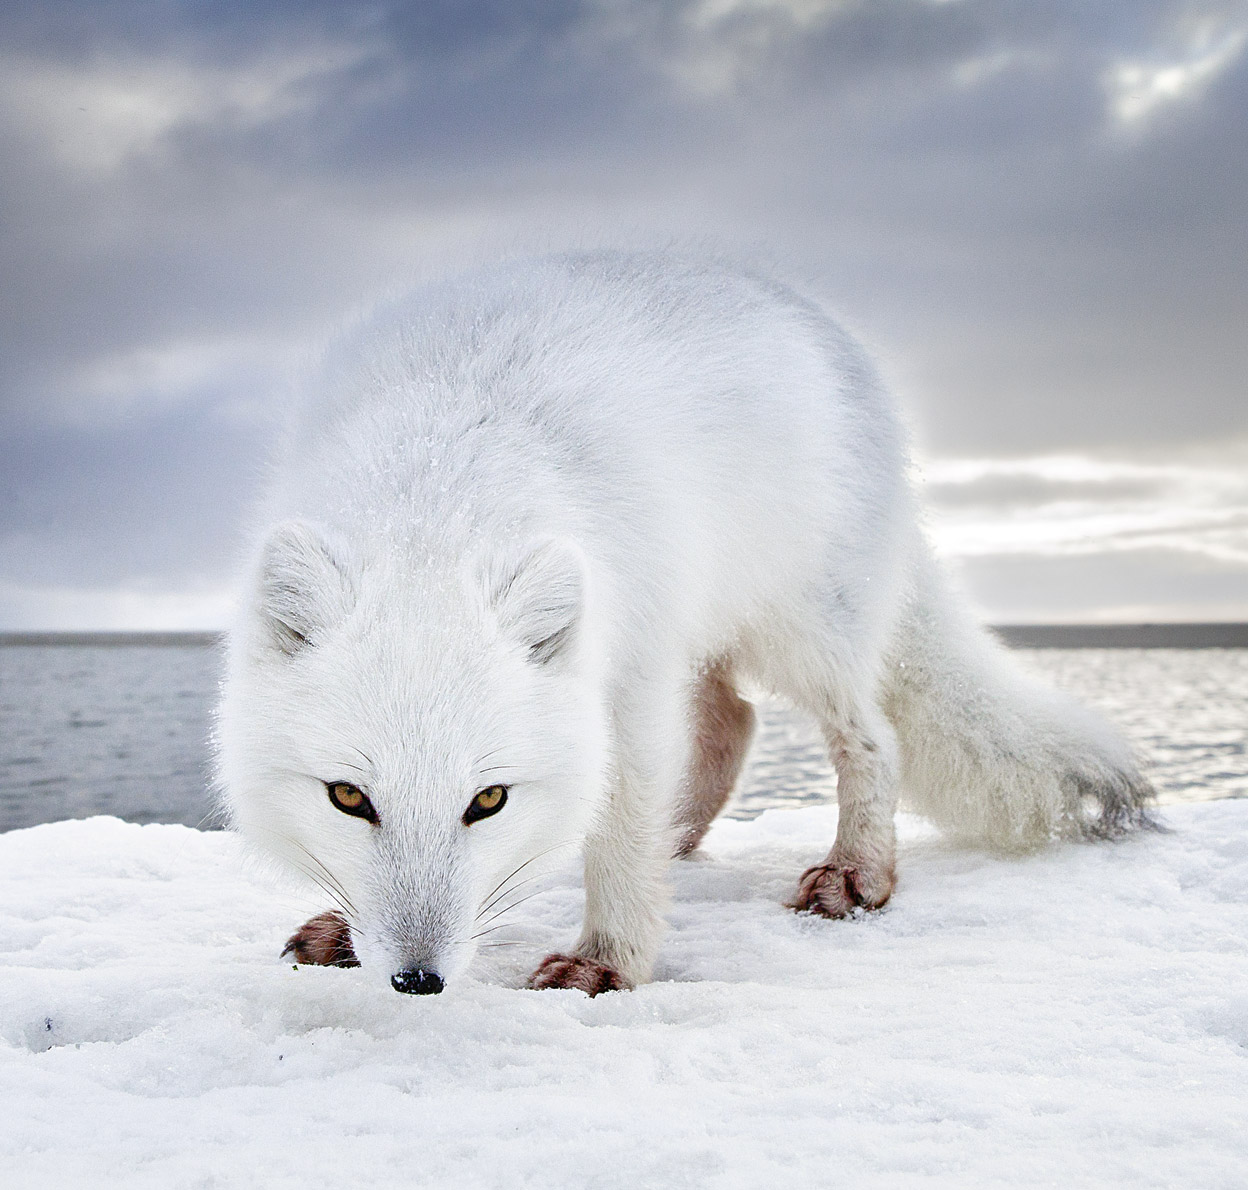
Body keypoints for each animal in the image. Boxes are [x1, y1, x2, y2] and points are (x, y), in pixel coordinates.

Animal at [217, 249, 1154, 997]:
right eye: (348, 797)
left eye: (488, 800)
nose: (418, 980)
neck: (438, 492)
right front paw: (344, 933)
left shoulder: (628, 678)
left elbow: (621, 828)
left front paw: (607, 961)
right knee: (731, 722)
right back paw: (687, 838)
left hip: (801, 628)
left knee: (868, 736)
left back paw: (856, 872)